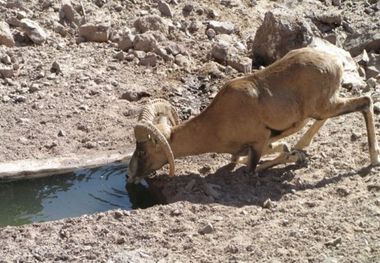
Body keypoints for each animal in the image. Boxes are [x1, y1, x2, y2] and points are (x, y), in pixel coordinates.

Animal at [126, 47, 378, 184]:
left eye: (143, 150)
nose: (129, 176)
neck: (217, 121)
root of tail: (335, 62)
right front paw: (294, 153)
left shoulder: (257, 143)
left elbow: (251, 166)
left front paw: (291, 156)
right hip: (323, 108)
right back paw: (302, 148)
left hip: (327, 106)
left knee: (365, 102)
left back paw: (374, 160)